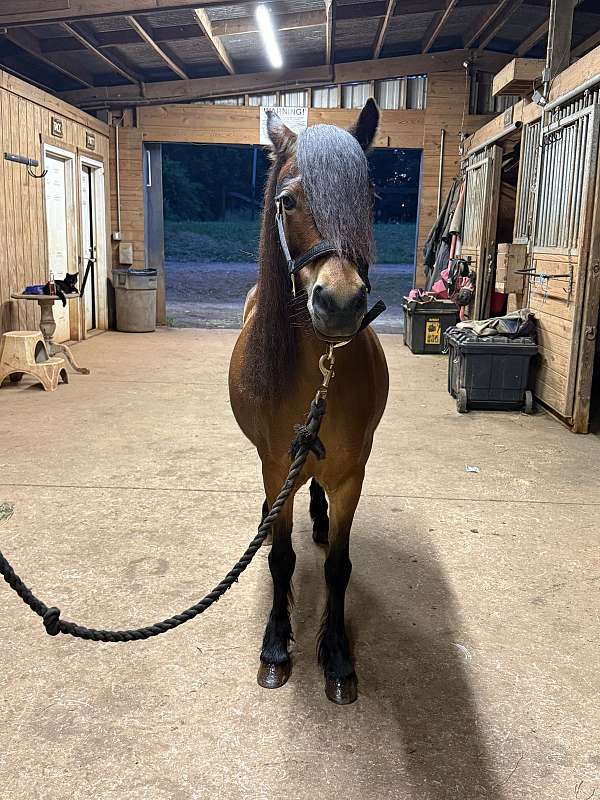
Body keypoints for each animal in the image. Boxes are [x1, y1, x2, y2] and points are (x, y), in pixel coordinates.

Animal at [228, 99, 389, 705]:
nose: (339, 303)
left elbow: (339, 567)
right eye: (288, 201)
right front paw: (276, 647)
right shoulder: (277, 465)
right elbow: (280, 558)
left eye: (367, 199)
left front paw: (338, 655)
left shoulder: (351, 474)